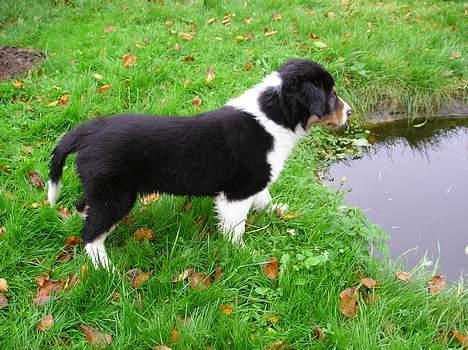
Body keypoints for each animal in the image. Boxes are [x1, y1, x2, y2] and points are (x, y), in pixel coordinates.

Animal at [48, 58, 352, 270]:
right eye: (331, 95)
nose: (349, 112)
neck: (273, 116)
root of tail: (88, 130)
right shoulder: (238, 190)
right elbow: (236, 227)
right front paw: (243, 253)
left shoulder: (255, 181)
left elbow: (264, 198)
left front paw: (281, 212)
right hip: (116, 195)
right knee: (91, 234)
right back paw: (105, 267)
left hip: (99, 188)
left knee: (83, 207)